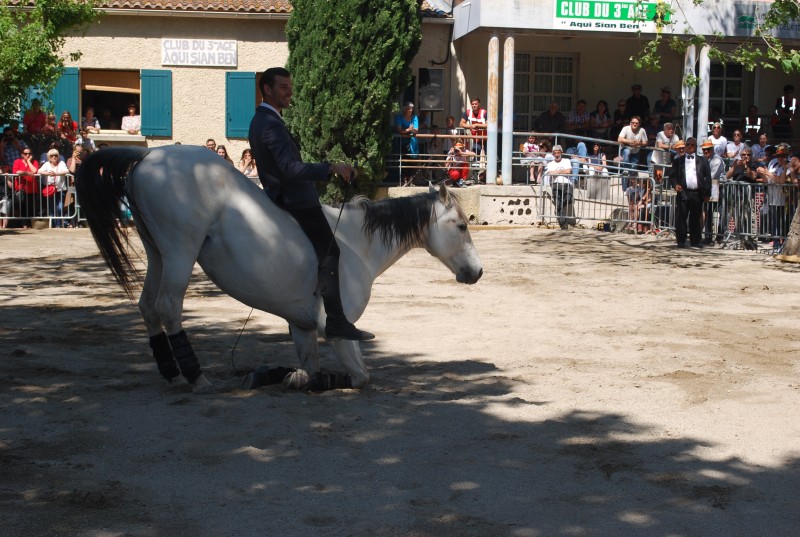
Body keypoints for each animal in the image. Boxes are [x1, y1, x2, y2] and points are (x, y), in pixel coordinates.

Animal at [76, 147, 482, 394]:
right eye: (462, 226)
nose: (476, 272)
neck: (356, 242)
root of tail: (149, 154)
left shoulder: (302, 326)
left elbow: (310, 369)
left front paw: (287, 377)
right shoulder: (337, 329)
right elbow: (360, 376)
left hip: (158, 253)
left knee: (147, 307)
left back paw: (173, 373)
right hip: (179, 253)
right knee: (167, 307)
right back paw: (197, 378)